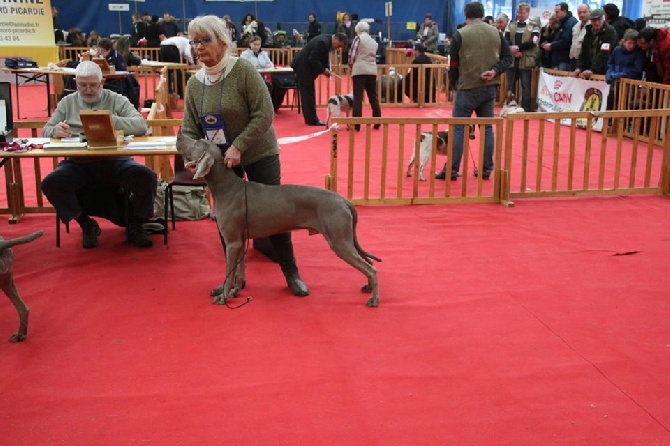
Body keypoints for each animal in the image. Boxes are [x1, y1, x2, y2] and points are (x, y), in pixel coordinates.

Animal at [176, 133, 380, 306]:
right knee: (369, 263)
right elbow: (239, 272)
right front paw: (236, 291)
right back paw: (368, 287)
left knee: (371, 268)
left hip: (339, 241)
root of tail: (343, 200)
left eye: (196, 142)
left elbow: (229, 273)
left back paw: (374, 299)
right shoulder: (240, 242)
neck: (225, 186)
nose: (178, 135)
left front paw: (224, 297)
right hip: (346, 239)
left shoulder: (232, 242)